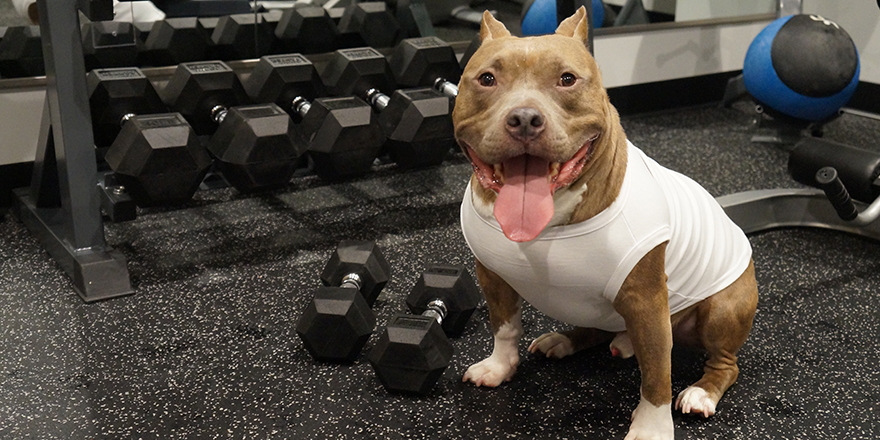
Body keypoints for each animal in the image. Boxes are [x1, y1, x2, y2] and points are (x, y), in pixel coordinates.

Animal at [450, 7, 760, 440]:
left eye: (567, 79)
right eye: (486, 79)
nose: (525, 118)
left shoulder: (647, 301)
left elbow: (657, 375)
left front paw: (651, 427)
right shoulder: (491, 274)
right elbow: (505, 326)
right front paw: (499, 366)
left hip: (723, 309)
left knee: (724, 363)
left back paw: (702, 392)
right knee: (598, 328)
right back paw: (566, 340)